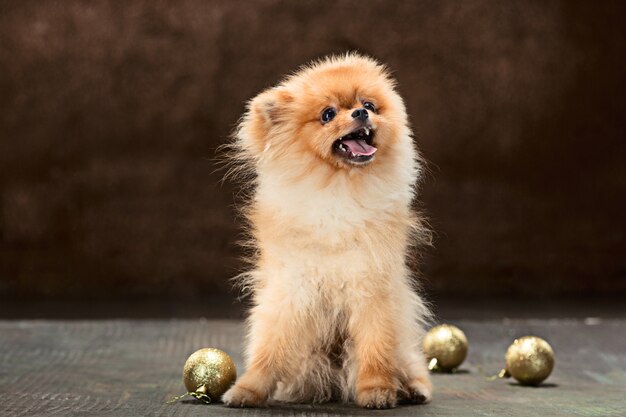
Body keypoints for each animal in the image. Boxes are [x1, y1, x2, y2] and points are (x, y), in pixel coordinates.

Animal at [222, 53, 432, 408]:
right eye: (328, 114)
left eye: (369, 104)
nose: (360, 113)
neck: (338, 189)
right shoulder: (291, 287)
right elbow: (270, 346)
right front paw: (248, 389)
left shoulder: (371, 284)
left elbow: (375, 346)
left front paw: (377, 390)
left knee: (408, 361)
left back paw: (413, 388)